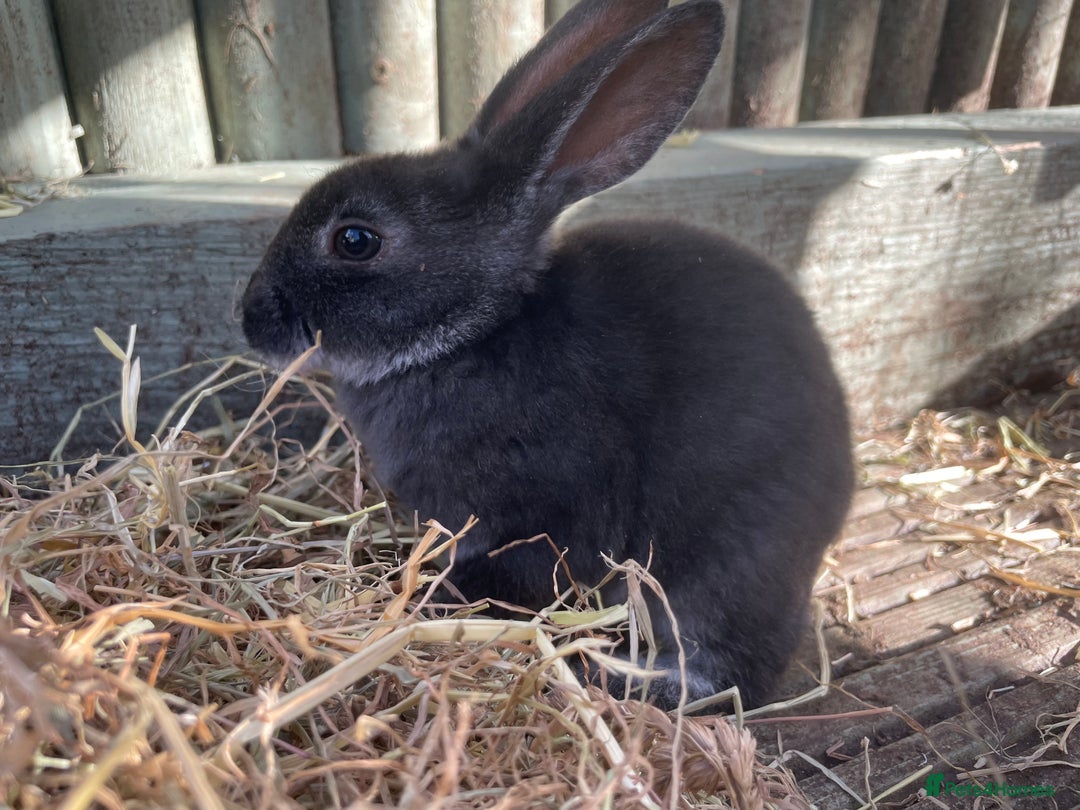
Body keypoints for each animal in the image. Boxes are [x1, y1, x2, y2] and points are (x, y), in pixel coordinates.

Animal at [241, 0, 853, 711]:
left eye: (355, 240)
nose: (250, 319)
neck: (474, 332)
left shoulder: (539, 511)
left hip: (735, 554)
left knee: (729, 668)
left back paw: (618, 677)